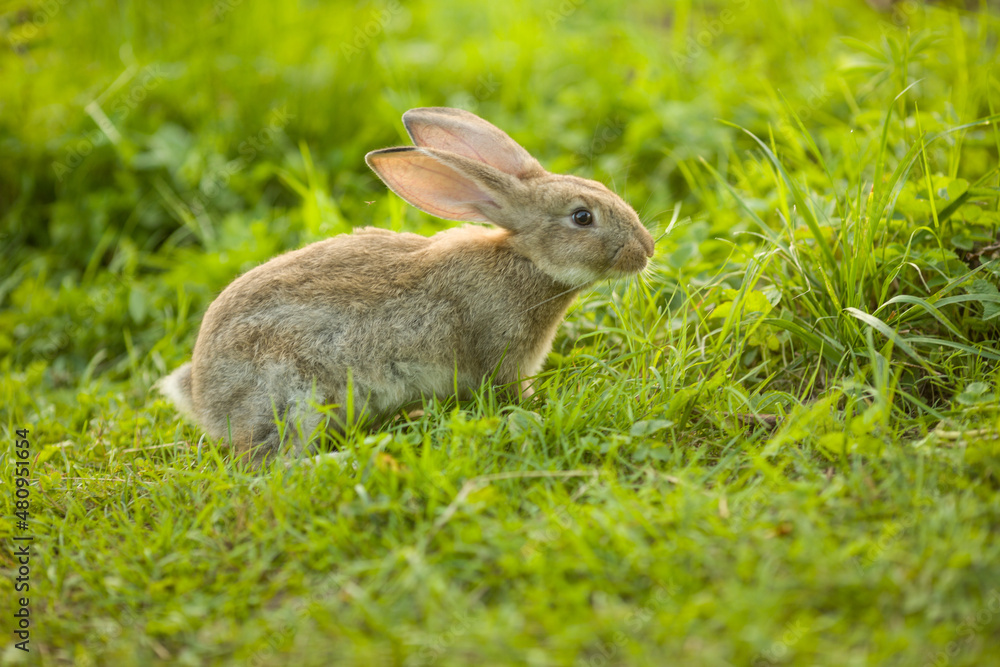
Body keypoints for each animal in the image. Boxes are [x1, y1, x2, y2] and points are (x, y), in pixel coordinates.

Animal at [158, 107, 654, 463]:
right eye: (582, 217)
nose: (647, 249)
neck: (525, 262)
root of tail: (202, 396)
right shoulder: (501, 358)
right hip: (294, 397)